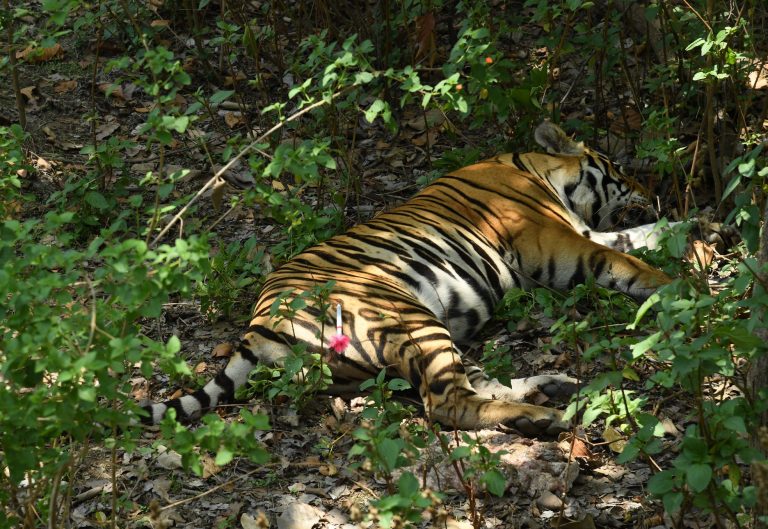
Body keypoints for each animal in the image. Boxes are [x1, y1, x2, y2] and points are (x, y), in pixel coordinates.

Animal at [142, 121, 672, 437]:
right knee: (449, 403)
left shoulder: (584, 231)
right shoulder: (560, 244)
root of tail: (256, 327)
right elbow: (625, 262)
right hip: (406, 316)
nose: (651, 191)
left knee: (474, 385)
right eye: (619, 169)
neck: (536, 169)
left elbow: (645, 235)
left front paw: (686, 233)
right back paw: (547, 417)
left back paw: (555, 387)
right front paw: (677, 291)